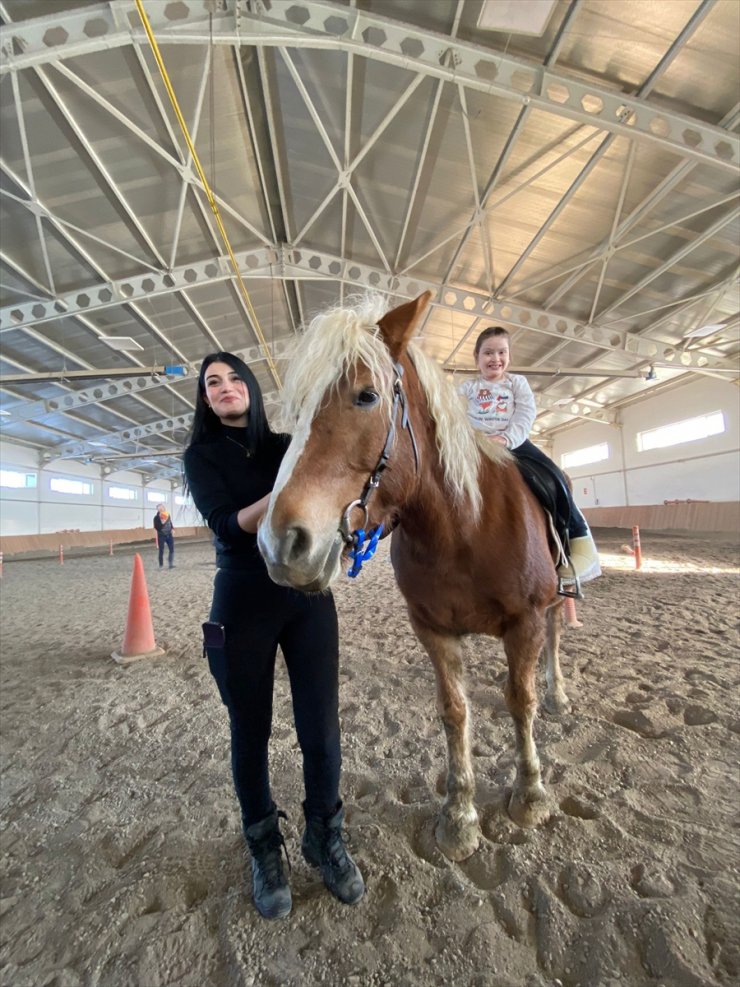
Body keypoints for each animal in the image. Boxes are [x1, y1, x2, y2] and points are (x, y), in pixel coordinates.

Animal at [260, 290, 572, 860]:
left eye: (366, 396)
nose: (280, 545)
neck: (463, 528)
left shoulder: (525, 621)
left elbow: (521, 703)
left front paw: (531, 793)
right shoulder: (434, 630)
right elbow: (454, 712)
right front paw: (460, 815)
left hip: (554, 605)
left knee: (555, 640)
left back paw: (558, 692)